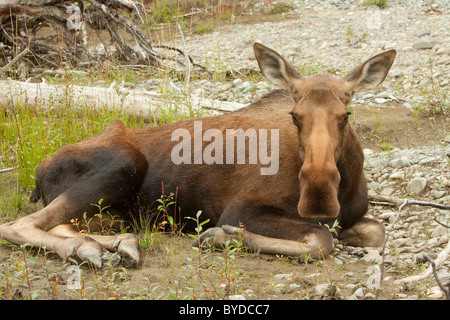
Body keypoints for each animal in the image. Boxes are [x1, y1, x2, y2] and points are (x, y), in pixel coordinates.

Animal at [0, 43, 396, 268]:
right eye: (295, 116)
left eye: (345, 115)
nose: (317, 193)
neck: (345, 187)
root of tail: (39, 170)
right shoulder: (241, 208)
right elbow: (321, 241)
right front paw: (222, 237)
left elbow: (375, 231)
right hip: (122, 164)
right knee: (20, 224)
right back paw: (87, 251)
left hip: (113, 212)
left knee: (68, 223)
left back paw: (118, 246)